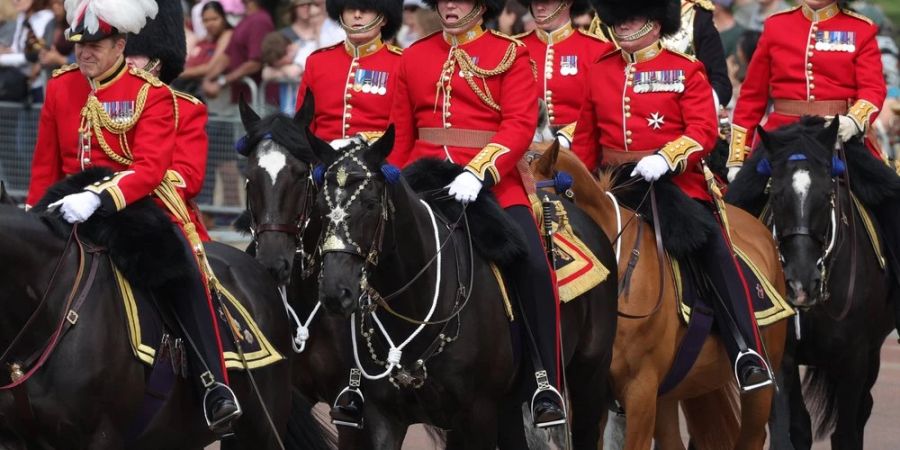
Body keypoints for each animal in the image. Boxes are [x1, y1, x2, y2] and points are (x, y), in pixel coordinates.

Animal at [306, 127, 616, 450]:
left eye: (370, 204)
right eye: (319, 208)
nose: (335, 292)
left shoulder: (476, 414)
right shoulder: (382, 418)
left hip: (590, 374)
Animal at [728, 117, 896, 450]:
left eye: (826, 194)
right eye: (775, 195)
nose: (800, 284)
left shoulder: (855, 357)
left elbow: (845, 433)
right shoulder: (782, 356)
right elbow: (793, 429)